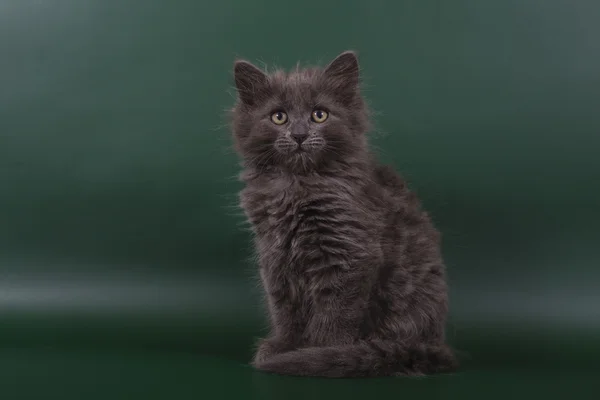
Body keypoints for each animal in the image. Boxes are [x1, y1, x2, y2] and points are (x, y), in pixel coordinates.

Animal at [232, 50, 458, 378]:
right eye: (278, 116)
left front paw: (321, 352)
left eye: (319, 115)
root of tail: (434, 343)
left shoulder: (348, 251)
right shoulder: (275, 255)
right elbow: (285, 310)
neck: (297, 185)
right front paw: (284, 346)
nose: (299, 135)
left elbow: (335, 313)